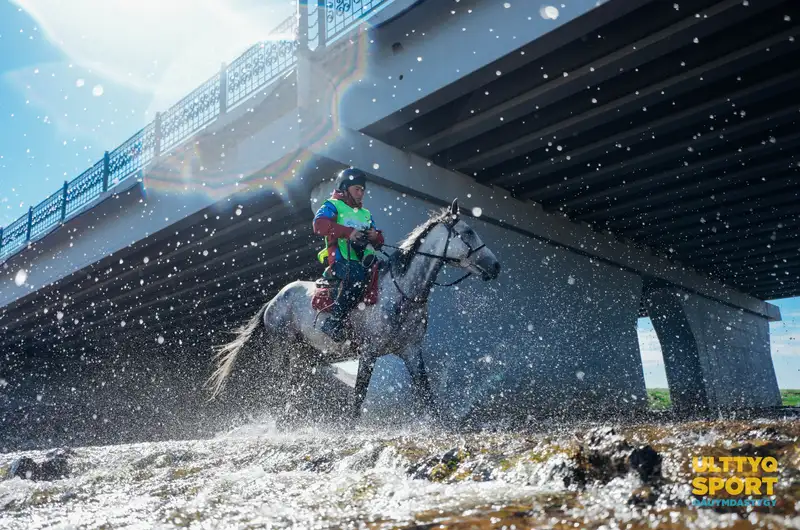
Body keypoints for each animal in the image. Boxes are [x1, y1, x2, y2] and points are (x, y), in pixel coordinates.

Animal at [209, 199, 504, 420]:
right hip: (283, 348)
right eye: (468, 232)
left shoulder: (411, 351)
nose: (495, 265)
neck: (403, 292)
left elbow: (426, 393)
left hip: (307, 356)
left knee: (293, 389)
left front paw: (439, 425)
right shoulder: (370, 351)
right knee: (280, 385)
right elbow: (359, 395)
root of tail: (274, 300)